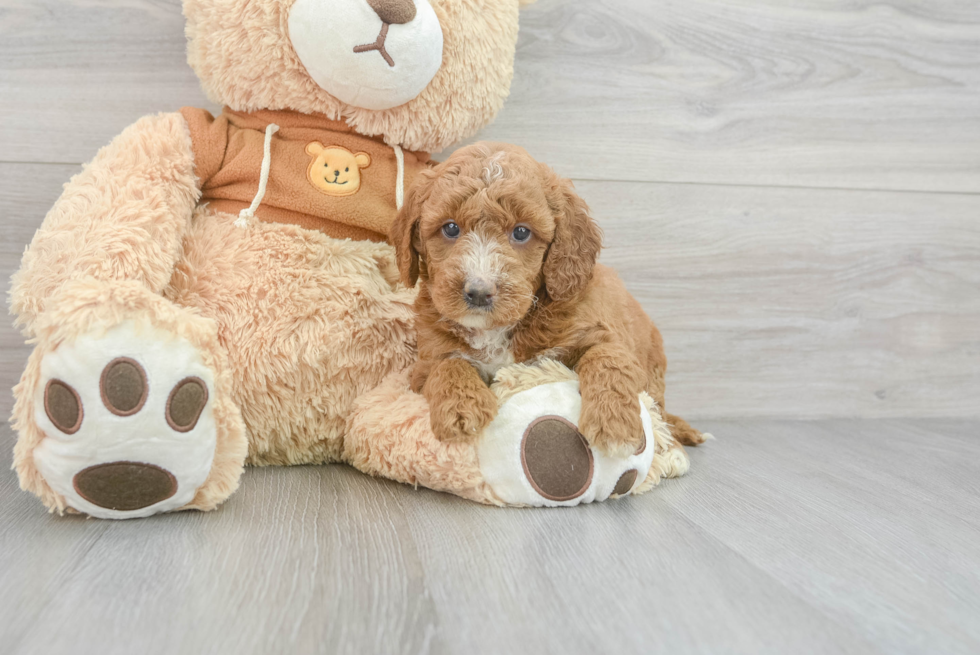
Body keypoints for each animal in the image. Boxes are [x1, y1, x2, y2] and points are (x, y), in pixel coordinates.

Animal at [386, 142, 700, 456]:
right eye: (450, 228)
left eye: (521, 232)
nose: (478, 292)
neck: (497, 329)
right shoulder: (426, 361)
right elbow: (447, 364)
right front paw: (462, 409)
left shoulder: (600, 333)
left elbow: (607, 358)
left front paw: (614, 423)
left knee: (659, 408)